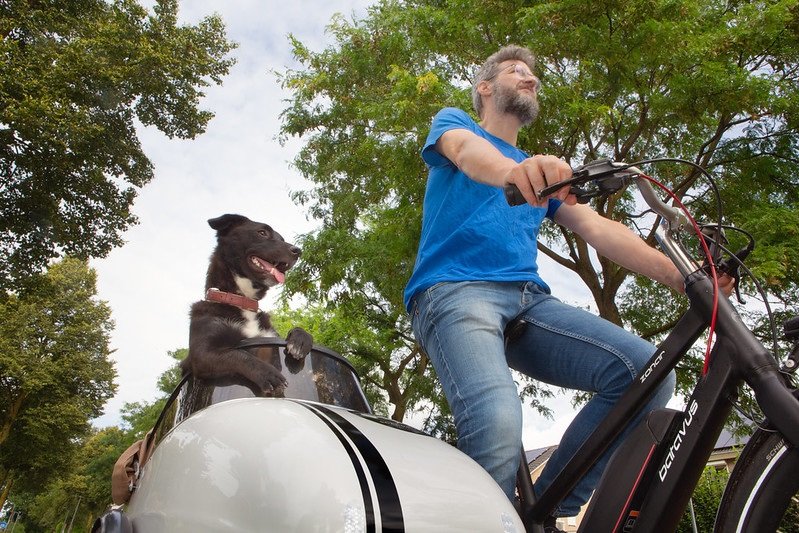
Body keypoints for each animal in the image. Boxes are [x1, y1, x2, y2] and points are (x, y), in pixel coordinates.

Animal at [183, 214, 314, 392]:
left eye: (282, 239)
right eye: (262, 232)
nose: (298, 251)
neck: (242, 301)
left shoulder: (270, 338)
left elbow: (298, 329)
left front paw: (301, 340)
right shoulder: (202, 354)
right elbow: (237, 354)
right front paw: (268, 374)